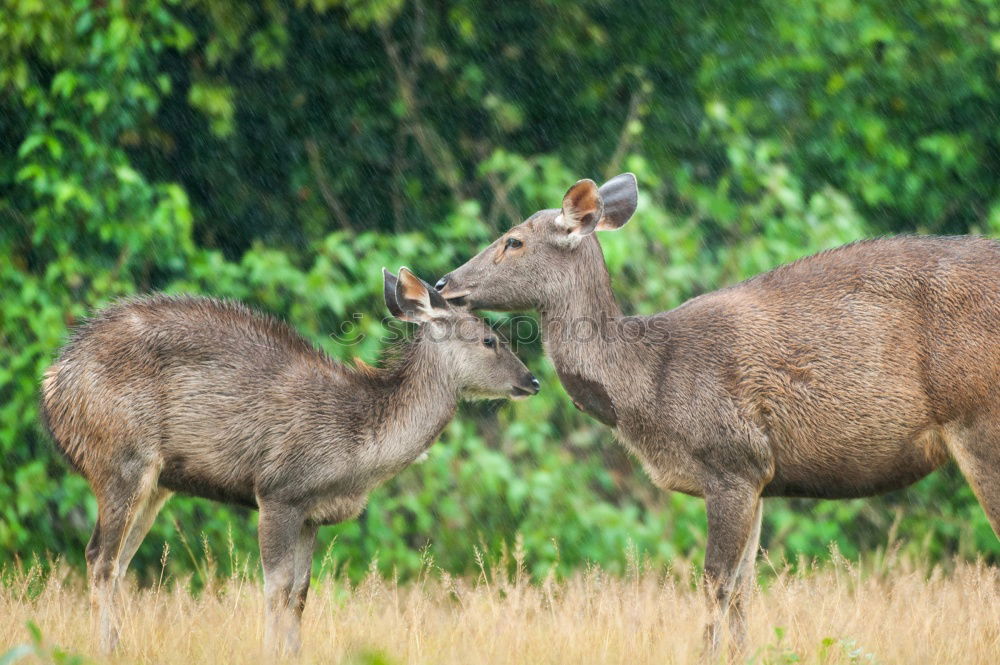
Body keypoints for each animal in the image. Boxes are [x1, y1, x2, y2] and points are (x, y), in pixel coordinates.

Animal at [39, 268, 540, 652]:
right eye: (490, 339)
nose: (532, 380)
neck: (357, 449)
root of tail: (52, 383)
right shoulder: (279, 490)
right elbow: (274, 588)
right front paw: (270, 652)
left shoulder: (312, 513)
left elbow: (300, 593)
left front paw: (295, 652)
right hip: (121, 459)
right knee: (99, 558)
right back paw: (107, 648)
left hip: (156, 483)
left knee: (118, 564)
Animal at [436, 174, 1000, 656]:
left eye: (513, 241)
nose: (443, 283)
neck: (647, 384)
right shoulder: (760, 475)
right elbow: (746, 587)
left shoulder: (731, 460)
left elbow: (714, 584)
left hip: (979, 420)